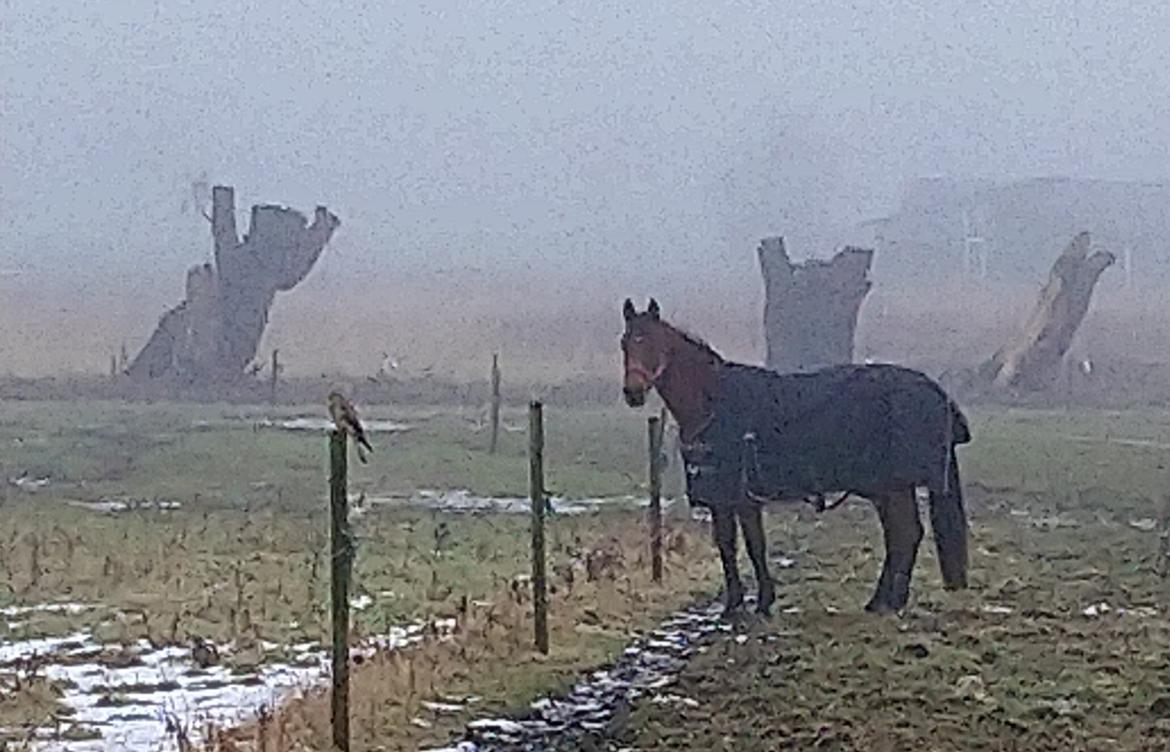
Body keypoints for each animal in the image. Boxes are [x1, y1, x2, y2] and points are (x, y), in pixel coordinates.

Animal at [622, 297, 968, 612]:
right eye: (625, 343)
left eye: (650, 341)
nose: (632, 393)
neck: (716, 404)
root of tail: (937, 393)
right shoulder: (721, 498)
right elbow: (727, 545)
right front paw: (735, 603)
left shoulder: (742, 496)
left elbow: (754, 546)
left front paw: (763, 601)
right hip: (887, 487)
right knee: (902, 535)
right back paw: (883, 601)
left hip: (894, 486)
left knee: (905, 534)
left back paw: (890, 602)